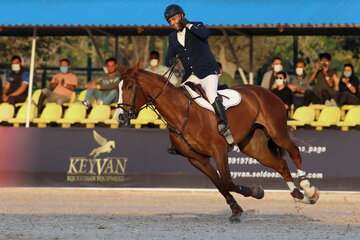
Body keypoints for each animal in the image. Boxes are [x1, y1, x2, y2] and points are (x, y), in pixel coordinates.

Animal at [116, 61, 320, 221]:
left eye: (130, 87)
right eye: (118, 88)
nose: (120, 117)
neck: (182, 112)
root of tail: (266, 91)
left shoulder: (219, 150)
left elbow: (227, 181)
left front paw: (256, 192)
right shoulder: (196, 158)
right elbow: (220, 184)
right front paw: (237, 209)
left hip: (277, 133)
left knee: (294, 151)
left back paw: (309, 190)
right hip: (253, 147)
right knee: (281, 164)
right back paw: (300, 196)